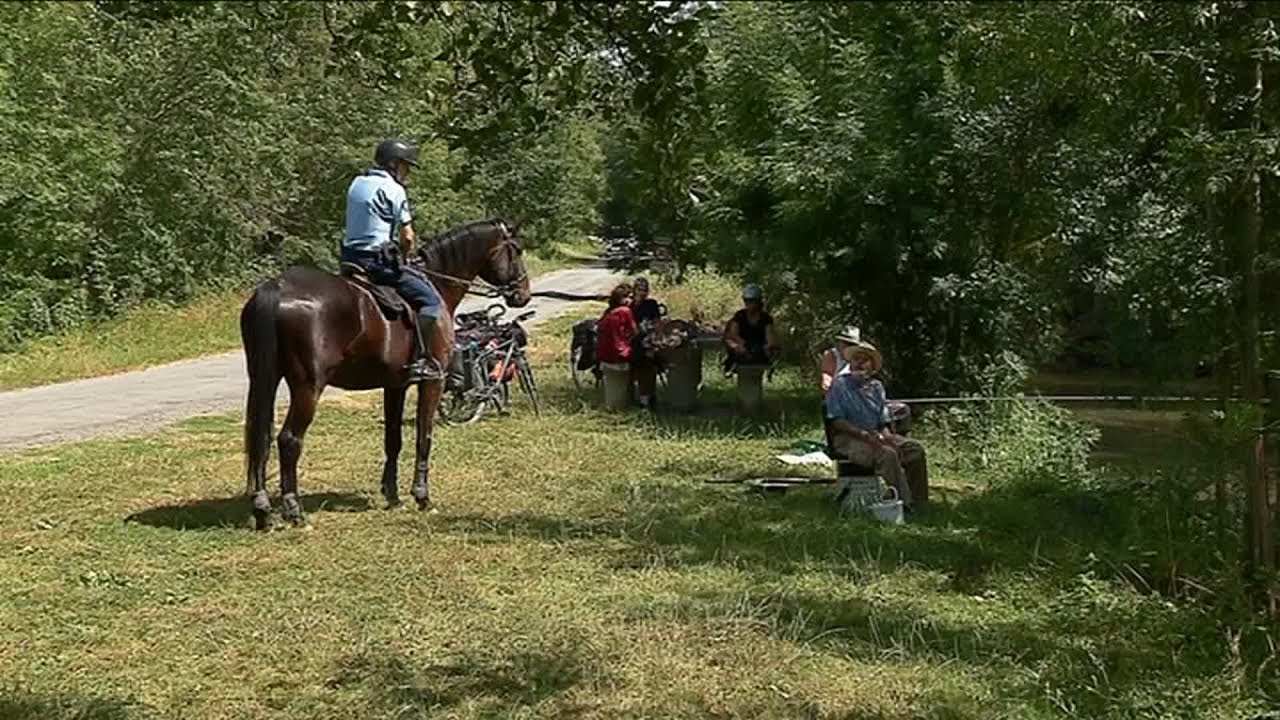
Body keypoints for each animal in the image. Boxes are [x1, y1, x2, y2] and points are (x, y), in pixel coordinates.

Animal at [238, 217, 531, 530]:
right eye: (516, 250)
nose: (523, 294)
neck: (437, 283)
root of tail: (277, 288)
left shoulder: (395, 385)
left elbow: (393, 439)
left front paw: (392, 495)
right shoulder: (433, 380)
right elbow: (424, 436)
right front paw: (422, 496)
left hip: (264, 380)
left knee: (262, 439)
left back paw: (262, 510)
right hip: (307, 388)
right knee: (289, 440)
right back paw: (294, 511)